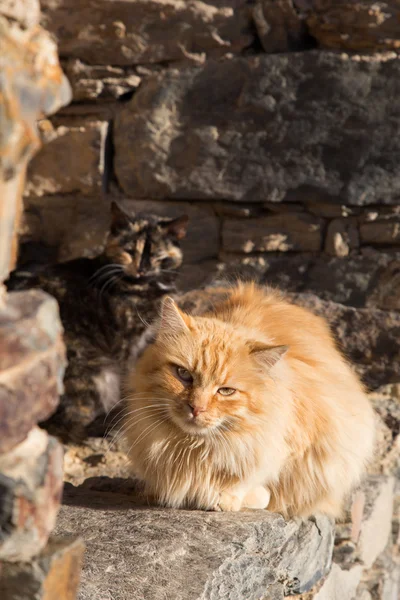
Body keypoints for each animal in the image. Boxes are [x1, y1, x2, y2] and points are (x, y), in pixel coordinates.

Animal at [6, 203, 188, 440]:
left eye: (158, 254)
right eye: (129, 250)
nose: (142, 269)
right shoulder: (127, 343)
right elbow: (130, 378)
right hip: (98, 370)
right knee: (70, 427)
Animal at [125, 282, 376, 516]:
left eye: (226, 391)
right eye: (183, 374)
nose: (196, 408)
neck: (194, 448)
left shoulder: (299, 443)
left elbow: (257, 481)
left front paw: (226, 498)